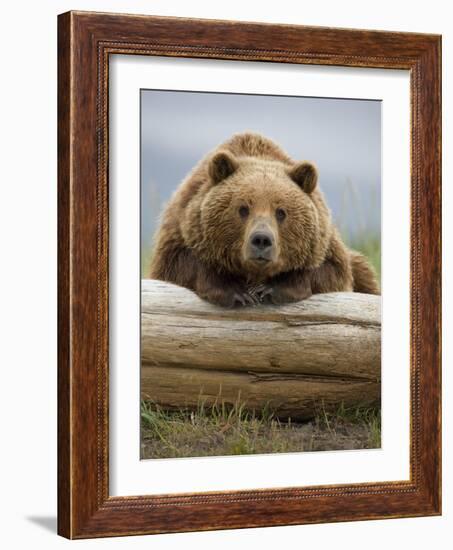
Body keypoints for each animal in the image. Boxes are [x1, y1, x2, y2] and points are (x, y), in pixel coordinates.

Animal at [148, 132, 378, 308]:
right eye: (243, 209)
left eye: (281, 212)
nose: (261, 240)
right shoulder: (181, 227)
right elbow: (179, 264)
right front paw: (238, 291)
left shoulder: (324, 244)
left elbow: (331, 271)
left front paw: (269, 289)